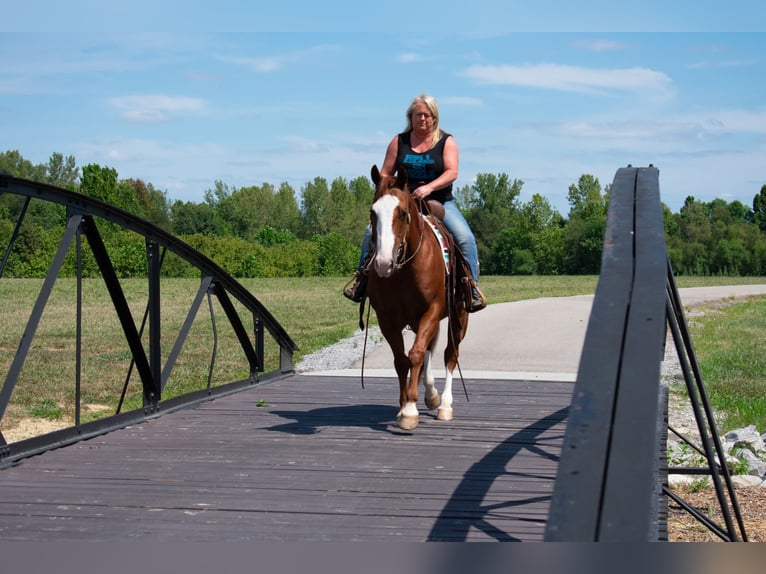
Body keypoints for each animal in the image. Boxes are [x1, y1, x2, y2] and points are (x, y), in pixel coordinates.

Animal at [366, 164, 468, 430]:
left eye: (402, 213)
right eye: (373, 212)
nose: (382, 263)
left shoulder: (431, 310)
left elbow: (416, 354)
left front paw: (411, 409)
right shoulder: (387, 319)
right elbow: (403, 360)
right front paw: (404, 408)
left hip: (459, 317)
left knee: (449, 354)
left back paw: (444, 405)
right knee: (429, 350)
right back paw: (431, 395)